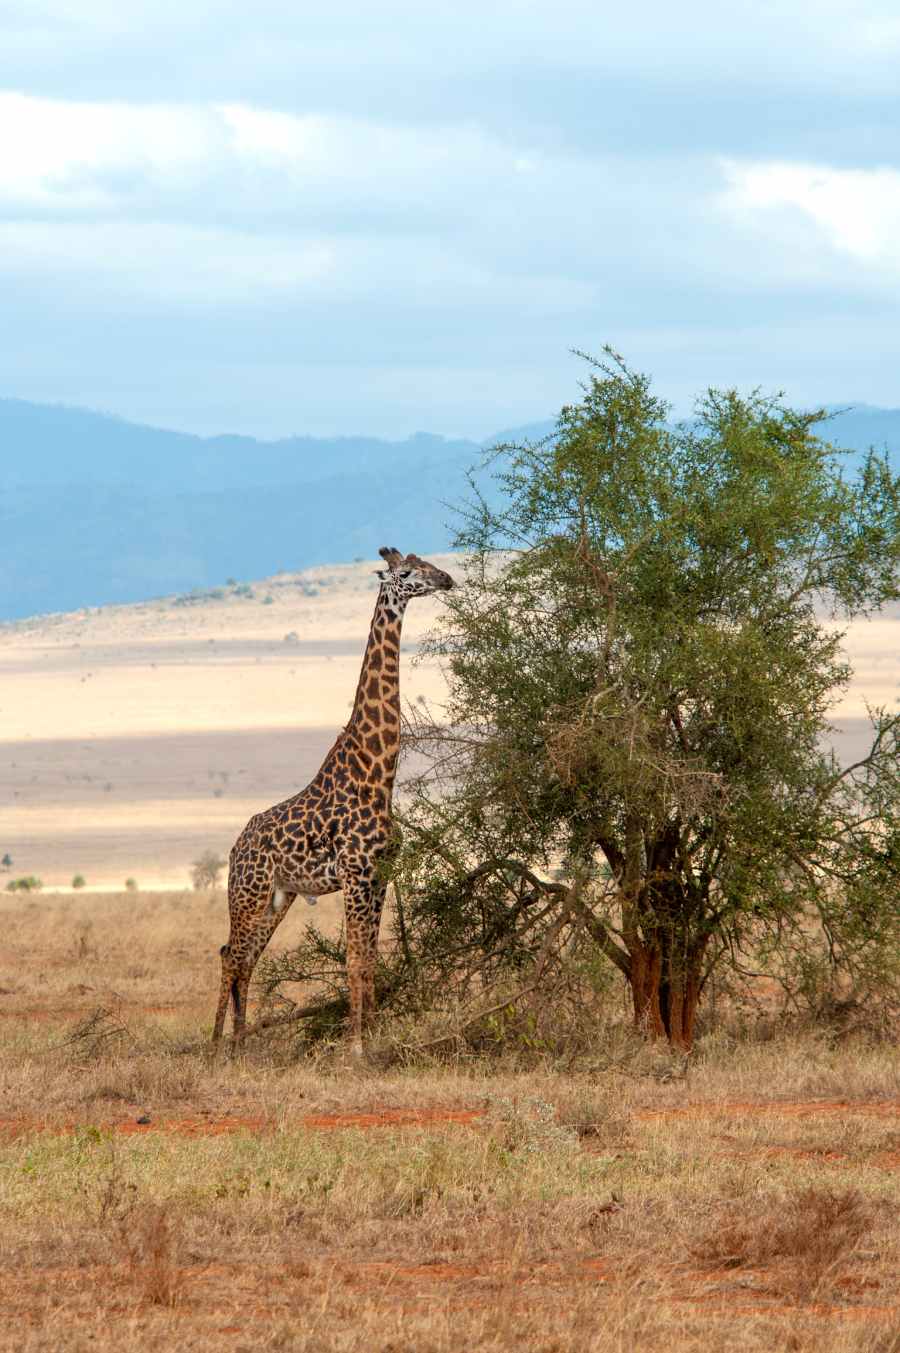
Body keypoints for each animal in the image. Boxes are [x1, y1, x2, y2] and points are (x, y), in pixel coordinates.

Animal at [212, 543, 457, 1049]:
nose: (446, 578)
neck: (378, 772)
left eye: (427, 564)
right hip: (248, 891)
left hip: (278, 897)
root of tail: (234, 849)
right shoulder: (356, 874)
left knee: (246, 957)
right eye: (409, 572)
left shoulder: (379, 875)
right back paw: (214, 1044)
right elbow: (355, 960)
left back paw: (241, 1043)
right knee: (230, 954)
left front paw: (375, 1038)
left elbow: (371, 960)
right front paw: (357, 1046)